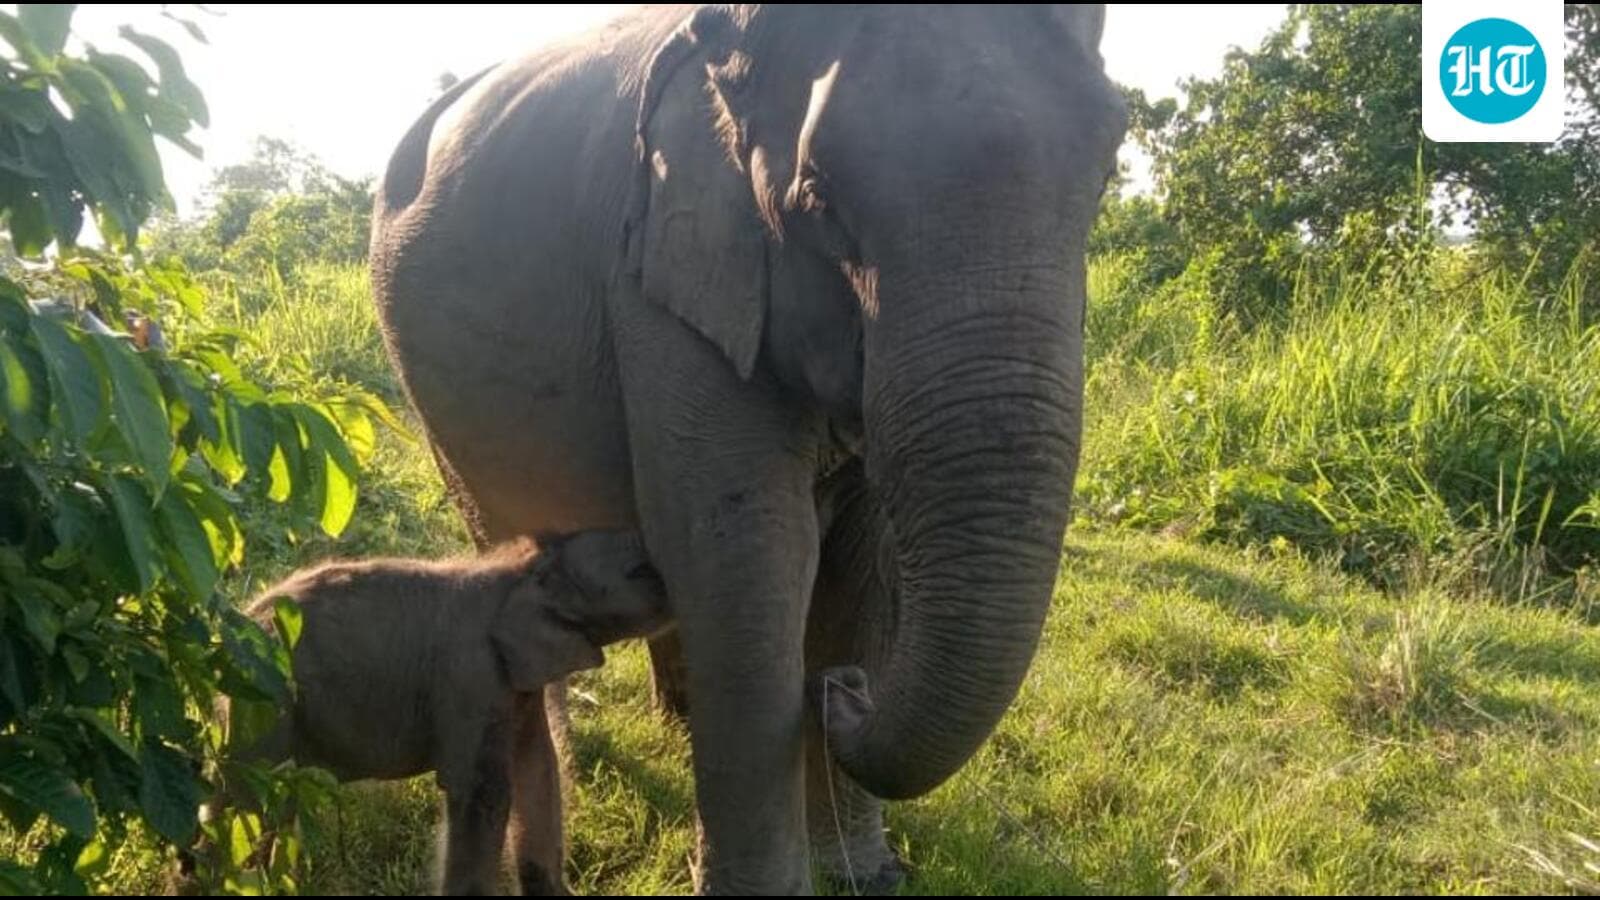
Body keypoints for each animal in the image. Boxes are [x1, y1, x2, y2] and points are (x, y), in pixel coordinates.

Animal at [370, 5, 1126, 894]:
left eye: (1107, 174)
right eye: (819, 199)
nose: (844, 689)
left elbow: (861, 559)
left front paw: (865, 875)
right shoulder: (661, 280)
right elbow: (748, 553)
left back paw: (679, 720)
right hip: (431, 399)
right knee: (509, 546)